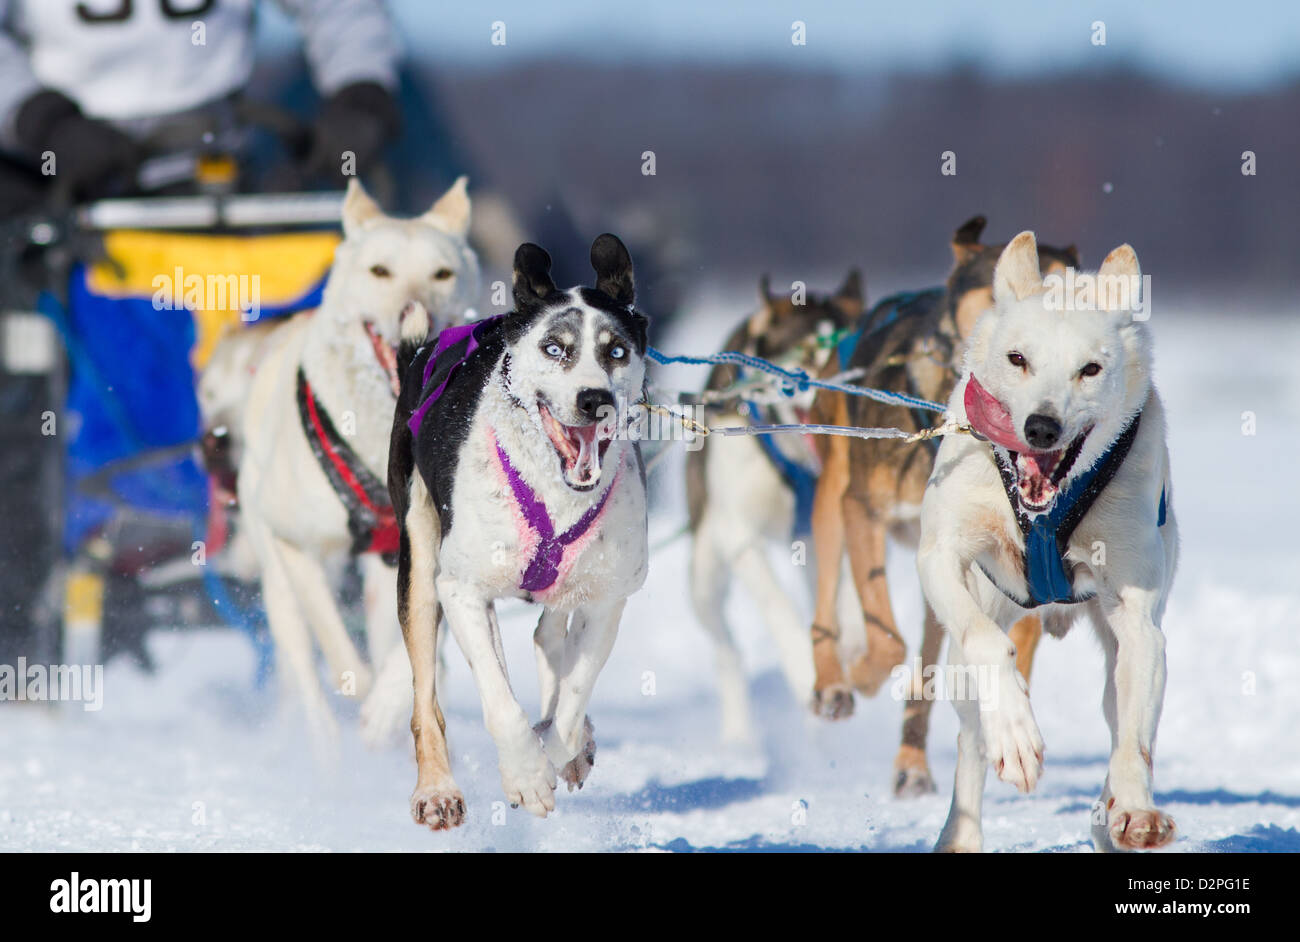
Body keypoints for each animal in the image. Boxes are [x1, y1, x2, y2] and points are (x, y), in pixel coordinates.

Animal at [228, 174, 478, 748]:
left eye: (442, 273)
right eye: (380, 271)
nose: (415, 312)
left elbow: (413, 650)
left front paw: (387, 703)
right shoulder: (295, 546)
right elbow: (338, 647)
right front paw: (361, 692)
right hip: (278, 584)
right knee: (306, 674)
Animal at [384, 235, 650, 831]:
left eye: (616, 351)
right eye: (555, 348)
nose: (595, 399)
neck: (554, 490)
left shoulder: (606, 599)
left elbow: (571, 701)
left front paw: (559, 749)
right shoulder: (461, 590)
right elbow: (501, 704)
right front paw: (527, 775)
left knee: (548, 638)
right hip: (418, 567)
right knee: (425, 699)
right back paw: (436, 789)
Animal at [915, 231, 1180, 847]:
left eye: (1090, 369)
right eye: (1018, 359)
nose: (1041, 427)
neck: (1044, 512)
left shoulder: (1138, 619)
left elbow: (1134, 736)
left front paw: (1135, 807)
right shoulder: (941, 554)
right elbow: (989, 643)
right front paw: (1015, 733)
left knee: (1120, 714)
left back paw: (1111, 813)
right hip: (963, 660)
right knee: (970, 738)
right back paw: (962, 832)